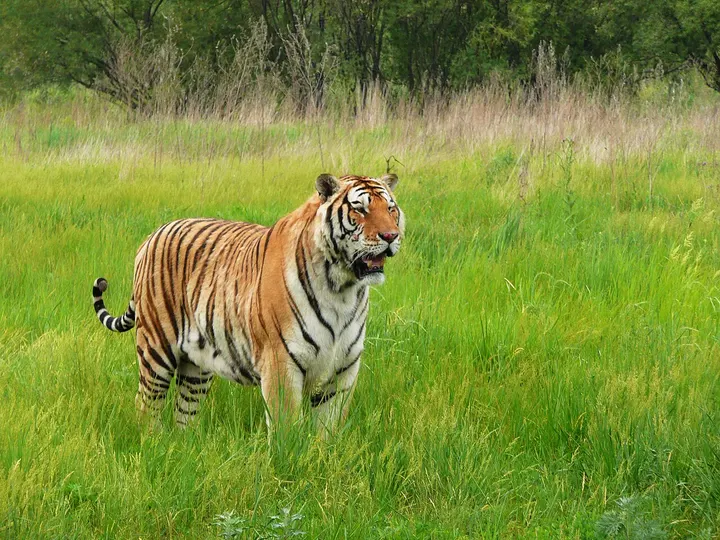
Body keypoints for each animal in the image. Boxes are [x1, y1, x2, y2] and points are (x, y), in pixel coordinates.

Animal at [92, 173, 404, 433]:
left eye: (391, 209)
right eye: (360, 209)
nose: (391, 236)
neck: (342, 288)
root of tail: (152, 235)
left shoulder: (342, 371)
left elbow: (327, 432)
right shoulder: (281, 364)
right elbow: (286, 432)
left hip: (196, 367)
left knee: (185, 413)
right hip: (155, 349)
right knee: (146, 403)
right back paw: (152, 443)